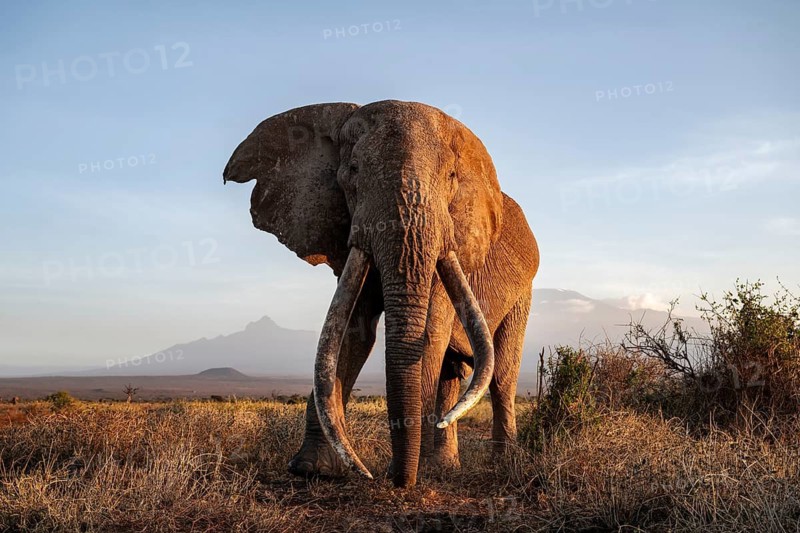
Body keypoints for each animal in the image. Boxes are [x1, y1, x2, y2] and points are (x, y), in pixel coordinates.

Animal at [224, 100, 539, 487]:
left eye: (451, 177)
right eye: (353, 171)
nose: (388, 477)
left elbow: (428, 333)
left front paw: (407, 474)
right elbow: (350, 332)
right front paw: (311, 469)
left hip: (523, 292)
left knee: (503, 374)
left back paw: (499, 465)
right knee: (455, 370)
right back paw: (443, 465)